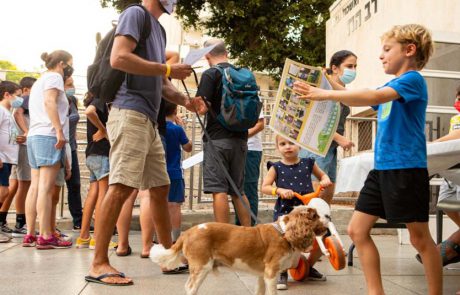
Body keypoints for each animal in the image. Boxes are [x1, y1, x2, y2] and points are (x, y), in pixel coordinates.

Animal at [151, 206, 328, 295]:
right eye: (315, 216)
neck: (284, 232)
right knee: (190, 288)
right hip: (201, 267)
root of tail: (188, 232)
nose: (327, 225)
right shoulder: (271, 273)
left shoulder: (262, 275)